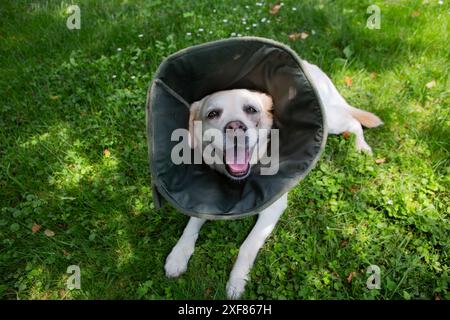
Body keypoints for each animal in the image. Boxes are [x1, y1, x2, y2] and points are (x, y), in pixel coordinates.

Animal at [163, 60, 382, 300]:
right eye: (212, 114)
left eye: (251, 110)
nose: (235, 127)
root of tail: (307, 63)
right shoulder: (203, 202)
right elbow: (192, 224)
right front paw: (178, 254)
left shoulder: (273, 207)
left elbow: (247, 247)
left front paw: (237, 281)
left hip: (332, 120)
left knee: (354, 123)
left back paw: (362, 148)